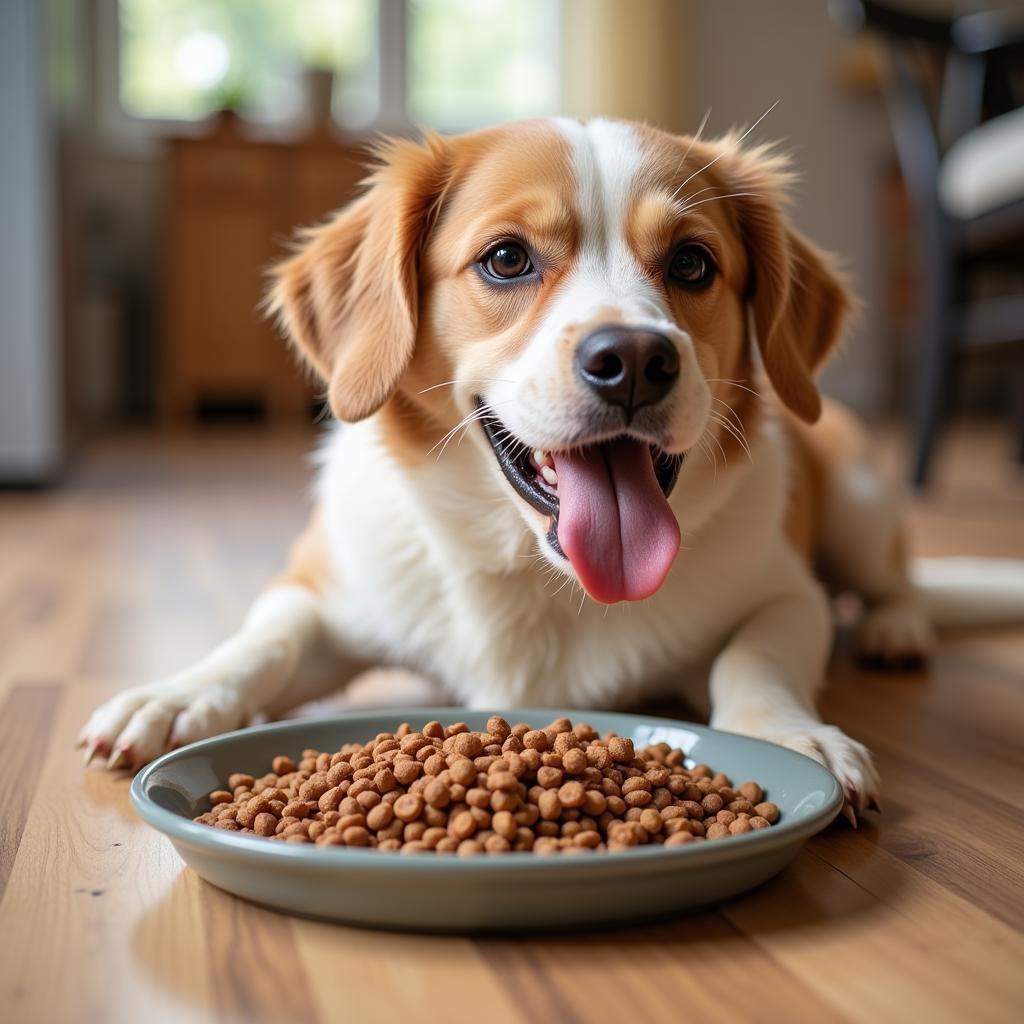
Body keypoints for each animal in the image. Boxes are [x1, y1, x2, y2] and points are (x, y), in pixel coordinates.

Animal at [77, 119, 1024, 819]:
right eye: (506, 258)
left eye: (692, 263)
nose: (635, 360)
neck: (541, 578)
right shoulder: (322, 588)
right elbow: (262, 640)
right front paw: (177, 695)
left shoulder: (786, 593)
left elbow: (752, 661)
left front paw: (791, 735)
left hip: (858, 497)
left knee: (897, 583)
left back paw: (896, 627)